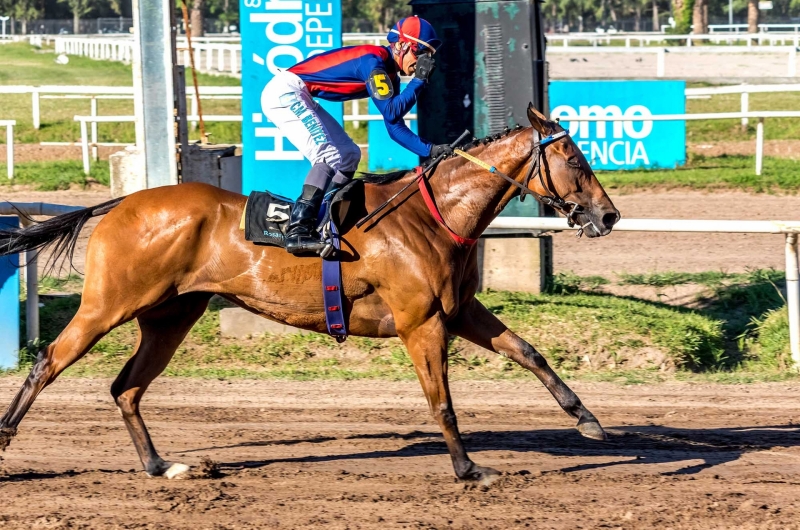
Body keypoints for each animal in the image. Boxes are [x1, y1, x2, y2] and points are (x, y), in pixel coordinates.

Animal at [0, 105, 620, 480]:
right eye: (573, 159)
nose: (608, 215)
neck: (433, 214)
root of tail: (122, 202)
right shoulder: (420, 321)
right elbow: (441, 400)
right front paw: (469, 469)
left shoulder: (459, 309)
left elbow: (530, 352)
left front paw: (587, 419)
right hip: (108, 304)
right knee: (48, 362)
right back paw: (7, 440)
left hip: (171, 315)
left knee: (126, 388)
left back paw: (160, 466)